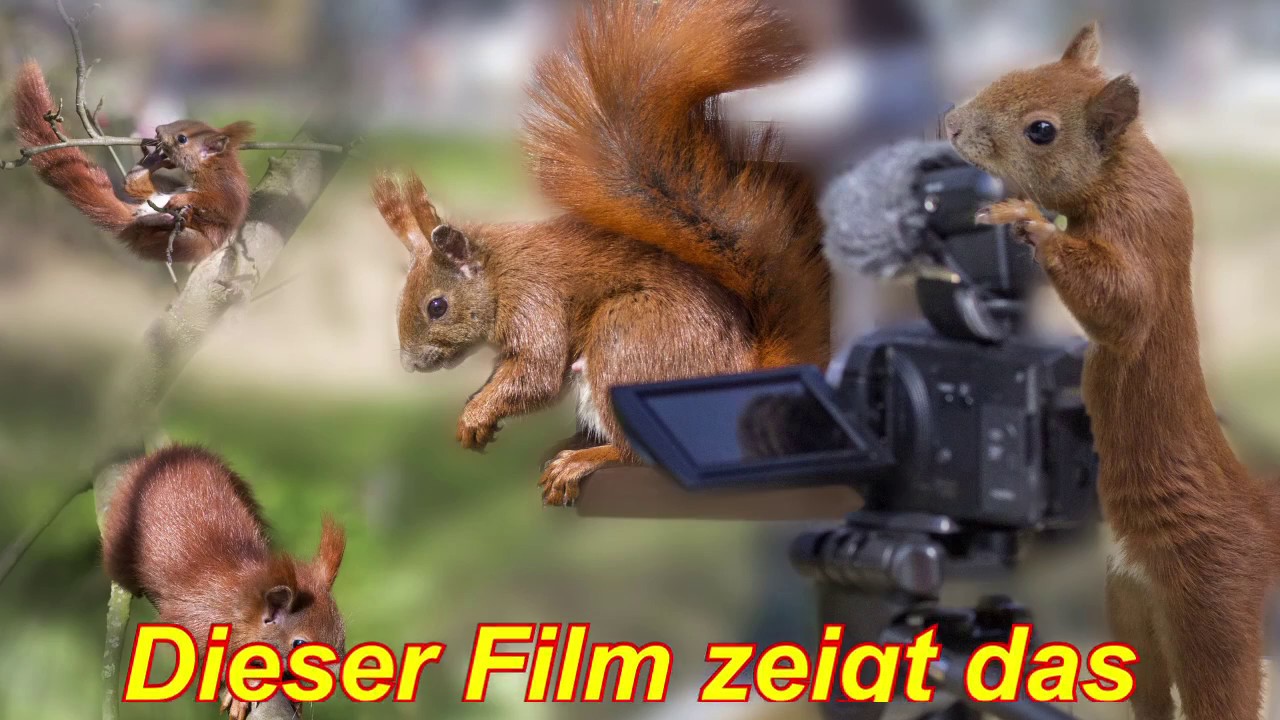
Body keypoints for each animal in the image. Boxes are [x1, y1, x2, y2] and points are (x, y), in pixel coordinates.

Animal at [13, 61, 253, 263]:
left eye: (182, 139)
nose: (158, 129)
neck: (210, 166)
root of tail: (134, 222)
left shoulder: (225, 190)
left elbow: (216, 204)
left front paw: (186, 199)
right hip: (163, 188)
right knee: (136, 188)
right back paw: (148, 168)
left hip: (191, 242)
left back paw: (168, 218)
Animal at [101, 445, 346, 720]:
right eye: (299, 644)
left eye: (342, 632)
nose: (339, 677)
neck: (238, 606)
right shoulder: (196, 619)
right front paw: (239, 689)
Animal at [371, 0, 828, 506]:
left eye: (437, 306)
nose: (410, 364)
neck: (500, 272)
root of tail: (738, 373)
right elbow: (508, 376)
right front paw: (476, 408)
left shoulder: (536, 301)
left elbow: (537, 374)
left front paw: (477, 413)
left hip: (625, 337)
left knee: (635, 454)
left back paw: (582, 460)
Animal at [947, 23, 1277, 720]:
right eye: (1014, 71)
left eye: (1041, 130)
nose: (950, 123)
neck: (1129, 174)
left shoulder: (1142, 248)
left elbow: (1119, 310)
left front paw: (1028, 222)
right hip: (1131, 615)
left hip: (1213, 616)